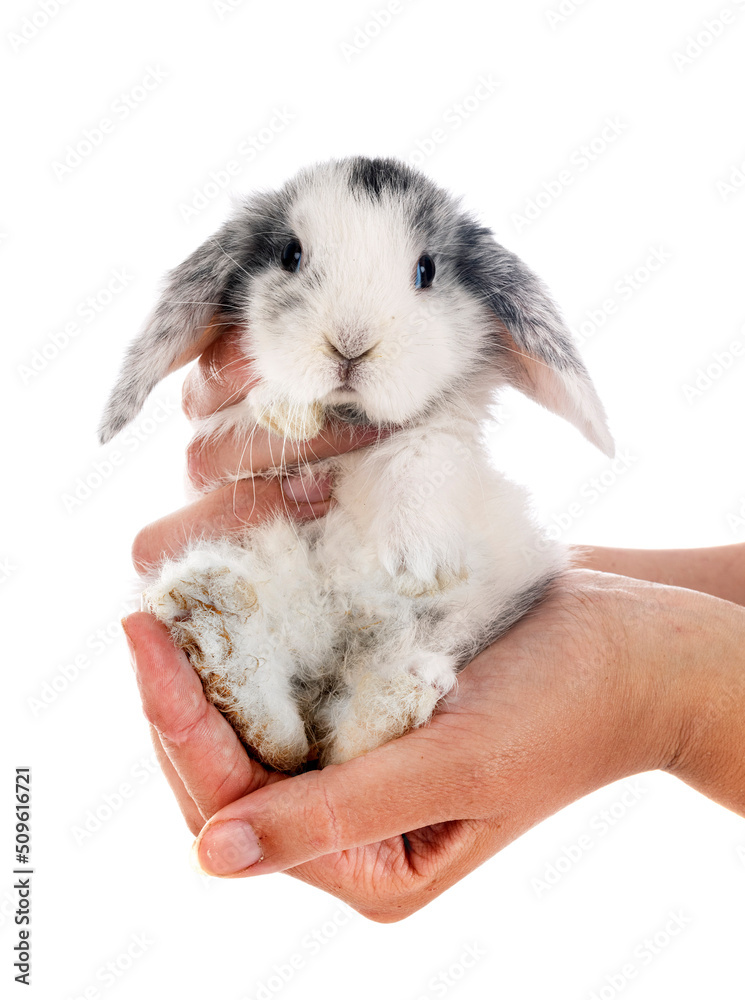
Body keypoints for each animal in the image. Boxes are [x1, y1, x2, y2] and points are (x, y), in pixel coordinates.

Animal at [100, 156, 612, 772]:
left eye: (426, 270)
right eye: (292, 255)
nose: (350, 343)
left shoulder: (444, 428)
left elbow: (421, 450)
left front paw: (421, 565)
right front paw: (289, 412)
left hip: (468, 611)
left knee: (351, 733)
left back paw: (402, 686)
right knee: (285, 733)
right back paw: (214, 622)